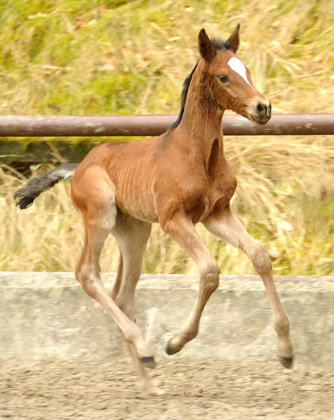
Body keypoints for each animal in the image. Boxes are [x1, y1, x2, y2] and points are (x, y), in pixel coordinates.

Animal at [14, 26, 294, 394]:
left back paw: (148, 381)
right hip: (101, 214)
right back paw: (146, 348)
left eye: (246, 70)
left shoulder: (217, 214)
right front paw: (175, 342)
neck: (197, 154)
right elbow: (209, 271)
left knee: (122, 294)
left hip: (135, 231)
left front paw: (286, 351)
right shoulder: (173, 219)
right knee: (87, 273)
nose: (263, 107)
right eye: (223, 76)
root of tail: (79, 166)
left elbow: (260, 255)